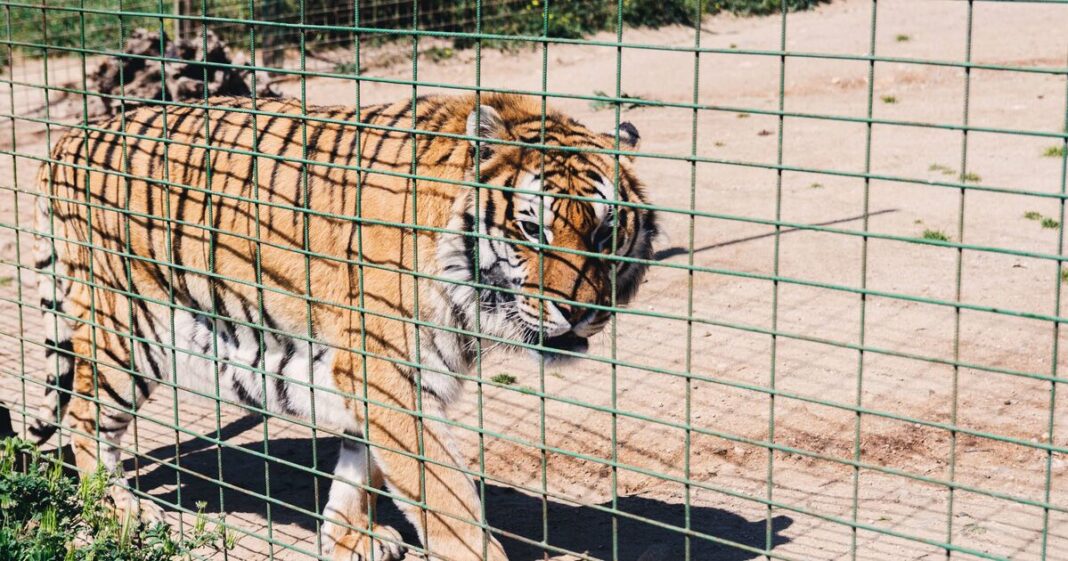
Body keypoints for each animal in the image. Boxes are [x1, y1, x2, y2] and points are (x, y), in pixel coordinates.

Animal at [26, 92, 655, 560]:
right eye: (530, 230)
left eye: (604, 232)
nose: (579, 311)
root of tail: (65, 142)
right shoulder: (385, 372)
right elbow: (447, 497)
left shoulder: (377, 379)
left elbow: (361, 471)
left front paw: (351, 538)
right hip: (129, 331)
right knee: (84, 418)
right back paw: (123, 509)